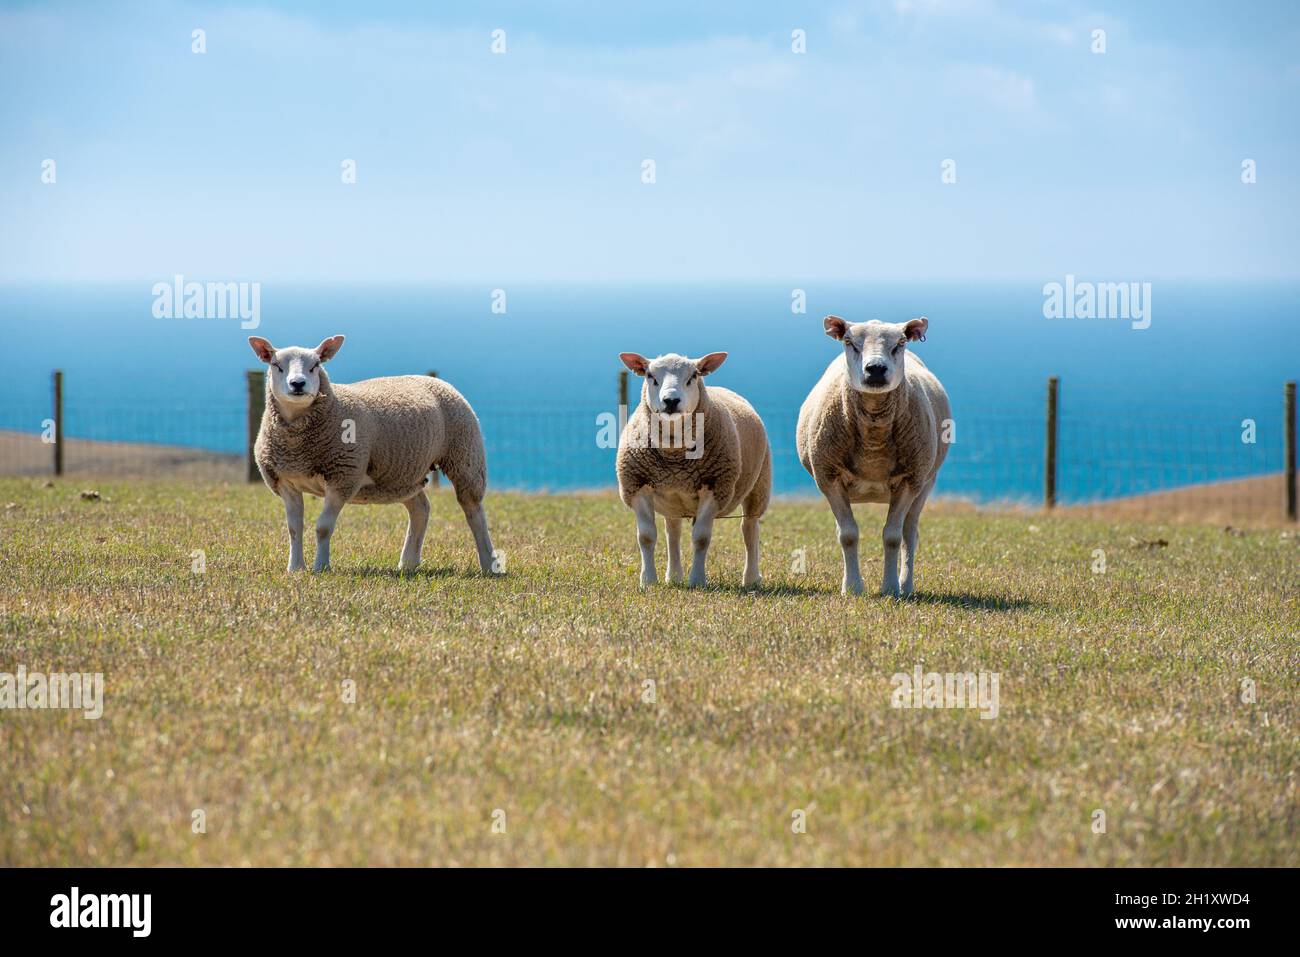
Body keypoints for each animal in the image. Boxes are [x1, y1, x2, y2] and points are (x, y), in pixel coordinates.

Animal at [247, 334, 498, 576]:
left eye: (316, 365)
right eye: (276, 365)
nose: (297, 384)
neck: (298, 447)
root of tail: (434, 379)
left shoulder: (342, 477)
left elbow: (323, 527)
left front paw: (321, 567)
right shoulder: (285, 482)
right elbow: (294, 528)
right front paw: (295, 568)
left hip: (465, 454)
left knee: (474, 511)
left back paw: (489, 564)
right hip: (401, 474)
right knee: (421, 508)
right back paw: (408, 563)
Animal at [615, 352, 771, 588]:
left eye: (694, 376)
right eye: (650, 376)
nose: (671, 400)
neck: (674, 455)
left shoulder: (715, 486)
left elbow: (701, 538)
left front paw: (697, 580)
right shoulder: (637, 485)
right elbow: (646, 536)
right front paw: (648, 581)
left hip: (759, 485)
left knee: (750, 528)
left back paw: (751, 579)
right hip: (672, 499)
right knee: (673, 531)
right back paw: (674, 576)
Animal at [796, 316, 950, 598]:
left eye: (900, 343)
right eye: (849, 342)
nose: (876, 369)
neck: (873, 442)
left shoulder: (910, 479)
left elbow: (893, 537)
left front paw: (890, 589)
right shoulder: (828, 478)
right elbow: (847, 534)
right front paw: (852, 588)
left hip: (926, 481)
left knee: (910, 534)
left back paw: (906, 585)